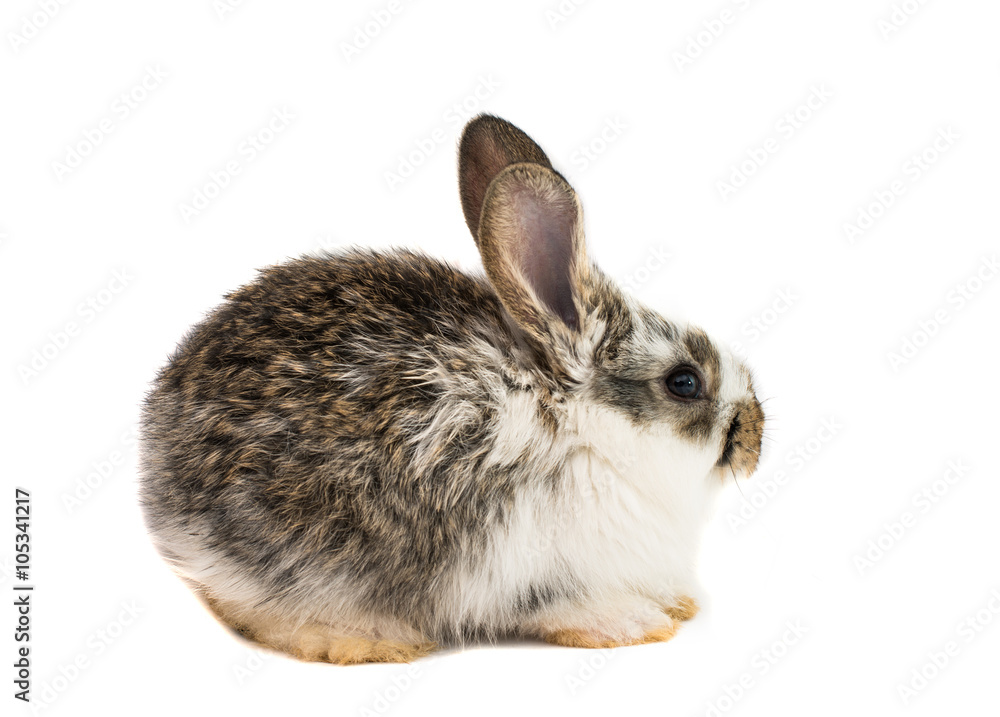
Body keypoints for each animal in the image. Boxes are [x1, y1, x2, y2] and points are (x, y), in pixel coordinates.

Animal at [138, 114, 765, 665]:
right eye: (684, 382)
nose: (755, 438)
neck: (581, 427)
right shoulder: (527, 563)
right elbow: (558, 603)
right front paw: (631, 624)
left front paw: (677, 605)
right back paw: (365, 640)